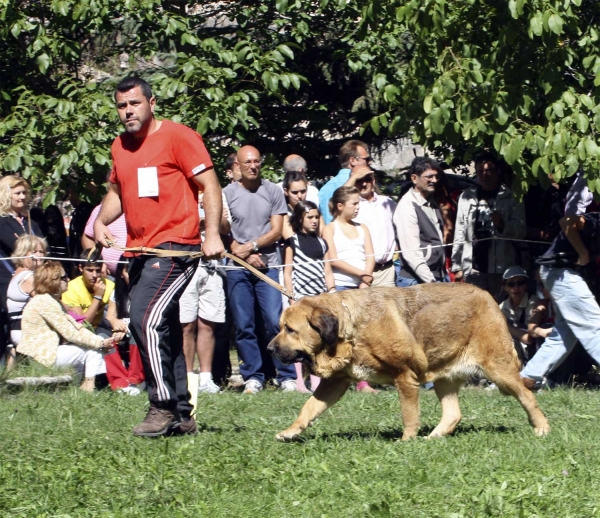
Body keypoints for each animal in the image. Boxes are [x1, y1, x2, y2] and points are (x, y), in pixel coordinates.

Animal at [270, 284, 552, 442]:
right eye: (282, 328)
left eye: (290, 330)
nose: (270, 348)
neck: (351, 329)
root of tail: (490, 298)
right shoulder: (336, 382)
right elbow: (309, 408)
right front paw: (290, 431)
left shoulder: (404, 376)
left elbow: (409, 415)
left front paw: (406, 441)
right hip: (444, 377)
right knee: (453, 414)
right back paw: (433, 437)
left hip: (499, 369)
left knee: (527, 396)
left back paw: (542, 428)